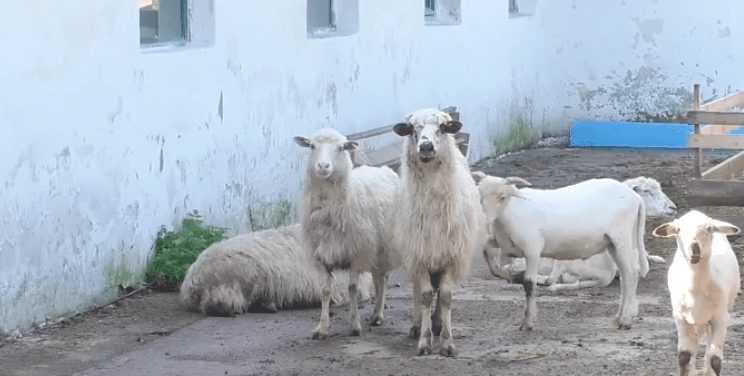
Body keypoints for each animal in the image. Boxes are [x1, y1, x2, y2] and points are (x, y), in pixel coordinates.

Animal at [292, 128, 402, 340]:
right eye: (312, 146)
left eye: (341, 148)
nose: (323, 166)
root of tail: (383, 169)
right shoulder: (321, 255)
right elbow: (325, 291)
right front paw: (322, 328)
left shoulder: (356, 253)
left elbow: (352, 289)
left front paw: (355, 326)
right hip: (373, 249)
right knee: (377, 278)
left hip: (383, 248)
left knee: (383, 278)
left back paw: (378, 314)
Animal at [390, 108, 488, 356]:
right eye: (412, 129)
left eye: (443, 128)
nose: (426, 147)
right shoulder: (420, 255)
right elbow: (425, 295)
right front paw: (424, 341)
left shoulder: (452, 256)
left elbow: (446, 296)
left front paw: (446, 342)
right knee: (418, 290)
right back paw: (417, 325)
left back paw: (436, 323)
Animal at [476, 173, 652, 328]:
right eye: (480, 194)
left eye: (502, 196)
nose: (484, 219)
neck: (509, 213)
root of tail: (636, 198)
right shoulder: (503, 243)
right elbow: (489, 256)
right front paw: (507, 275)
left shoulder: (532, 249)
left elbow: (529, 283)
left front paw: (528, 322)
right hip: (612, 243)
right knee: (624, 276)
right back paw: (619, 317)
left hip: (622, 238)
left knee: (631, 274)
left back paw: (626, 320)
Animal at [652, 210, 740, 374]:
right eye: (678, 230)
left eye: (709, 229)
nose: (694, 249)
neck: (696, 290)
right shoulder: (680, 317)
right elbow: (684, 356)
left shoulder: (720, 316)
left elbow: (715, 359)